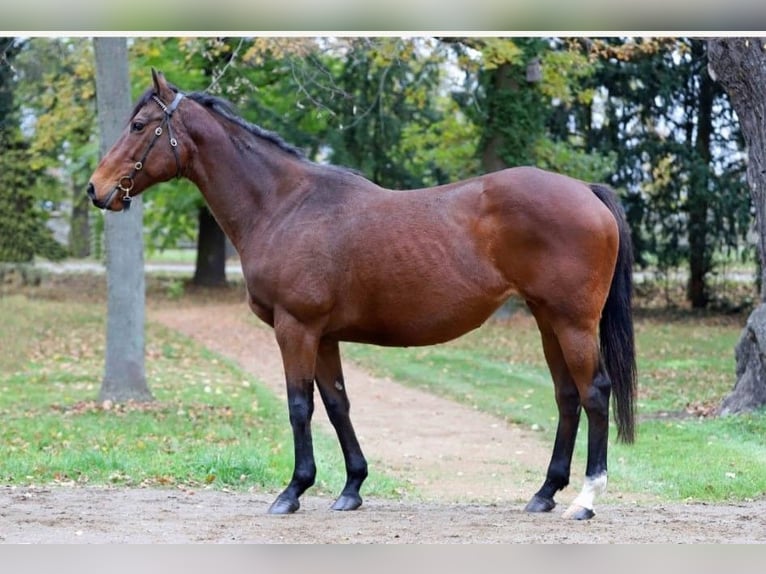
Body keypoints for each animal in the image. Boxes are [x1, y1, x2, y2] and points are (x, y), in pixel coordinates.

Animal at [88, 71, 636, 520]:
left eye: (138, 125)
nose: (96, 189)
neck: (284, 206)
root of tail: (585, 191)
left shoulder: (296, 328)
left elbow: (300, 406)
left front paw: (292, 491)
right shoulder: (324, 336)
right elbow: (337, 404)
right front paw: (351, 487)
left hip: (573, 322)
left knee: (594, 393)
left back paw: (586, 499)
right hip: (547, 321)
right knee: (567, 398)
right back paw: (544, 493)